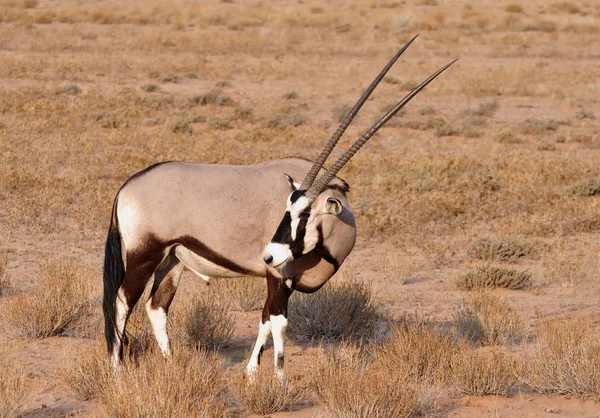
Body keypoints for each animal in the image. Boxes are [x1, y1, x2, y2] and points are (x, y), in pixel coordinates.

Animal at [102, 35, 454, 376]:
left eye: (305, 213)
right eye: (289, 210)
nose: (268, 254)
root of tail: (128, 187)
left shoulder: (284, 281)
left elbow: (264, 320)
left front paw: (252, 370)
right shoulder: (278, 276)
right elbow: (278, 322)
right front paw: (280, 376)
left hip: (172, 259)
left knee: (156, 306)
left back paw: (171, 364)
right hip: (144, 256)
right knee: (121, 301)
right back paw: (118, 369)